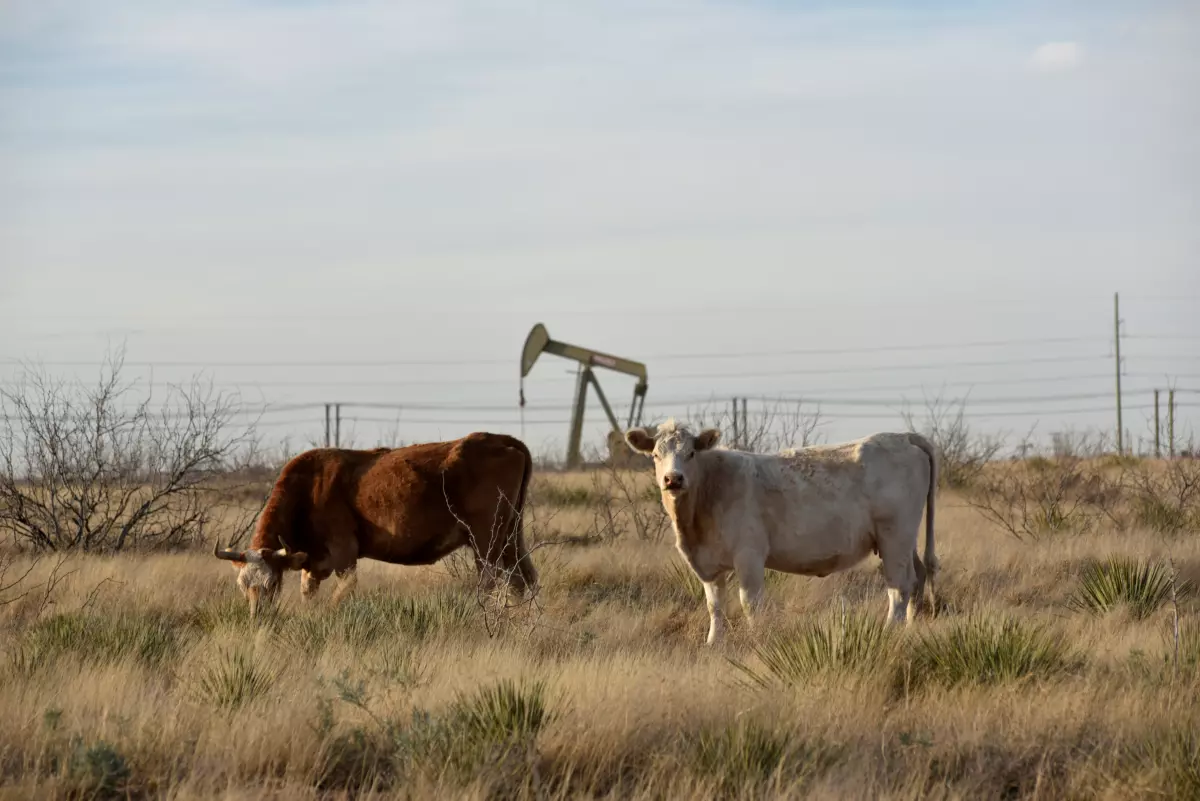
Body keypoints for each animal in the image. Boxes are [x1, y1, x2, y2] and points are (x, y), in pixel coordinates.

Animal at [213, 432, 538, 617]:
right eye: (243, 585)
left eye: (272, 583)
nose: (257, 617)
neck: (309, 488)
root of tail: (502, 439)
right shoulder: (313, 565)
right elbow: (309, 595)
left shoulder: (344, 552)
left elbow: (342, 593)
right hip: (512, 536)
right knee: (523, 580)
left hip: (487, 539)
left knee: (491, 580)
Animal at [624, 419, 938, 646]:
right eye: (655, 455)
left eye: (690, 454)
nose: (673, 479)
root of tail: (904, 436)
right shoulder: (708, 564)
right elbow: (715, 605)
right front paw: (714, 644)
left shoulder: (749, 555)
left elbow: (750, 603)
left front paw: (756, 640)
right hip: (903, 541)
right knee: (918, 577)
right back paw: (909, 627)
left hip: (894, 537)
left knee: (899, 586)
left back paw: (890, 631)